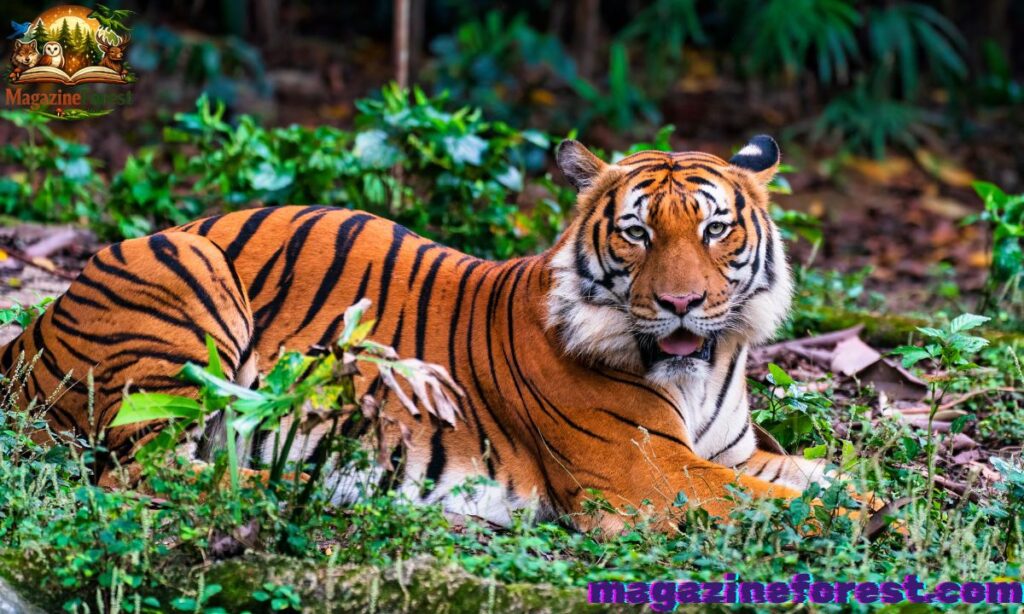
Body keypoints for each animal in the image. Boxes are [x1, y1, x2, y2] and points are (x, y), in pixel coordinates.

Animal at [0, 135, 828, 532]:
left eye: (715, 229)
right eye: (636, 232)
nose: (683, 303)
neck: (704, 367)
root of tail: (33, 327)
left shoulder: (729, 455)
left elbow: (816, 478)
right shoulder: (649, 474)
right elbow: (795, 504)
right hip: (187, 282)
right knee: (146, 472)